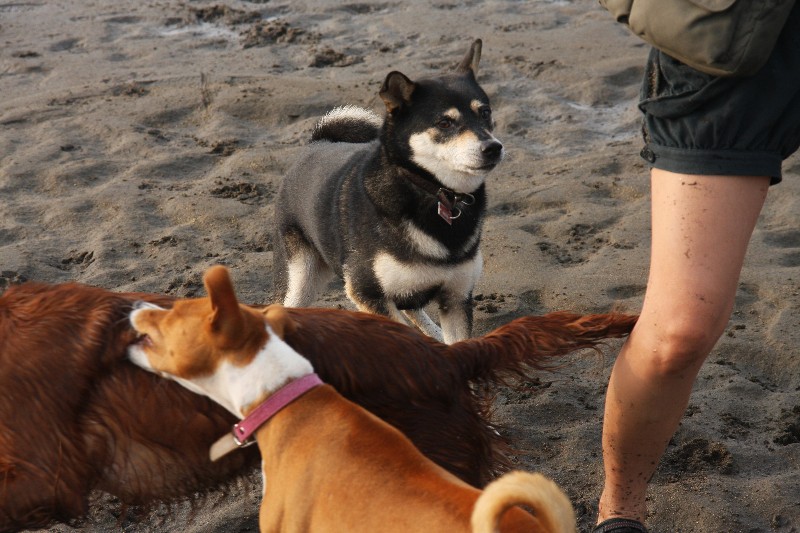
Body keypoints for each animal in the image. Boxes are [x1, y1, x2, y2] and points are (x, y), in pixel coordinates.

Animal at [273, 39, 503, 344]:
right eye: (445, 123)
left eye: (485, 113)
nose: (493, 148)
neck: (435, 194)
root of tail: (316, 143)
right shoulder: (366, 291)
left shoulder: (456, 297)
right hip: (301, 277)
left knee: (412, 307)